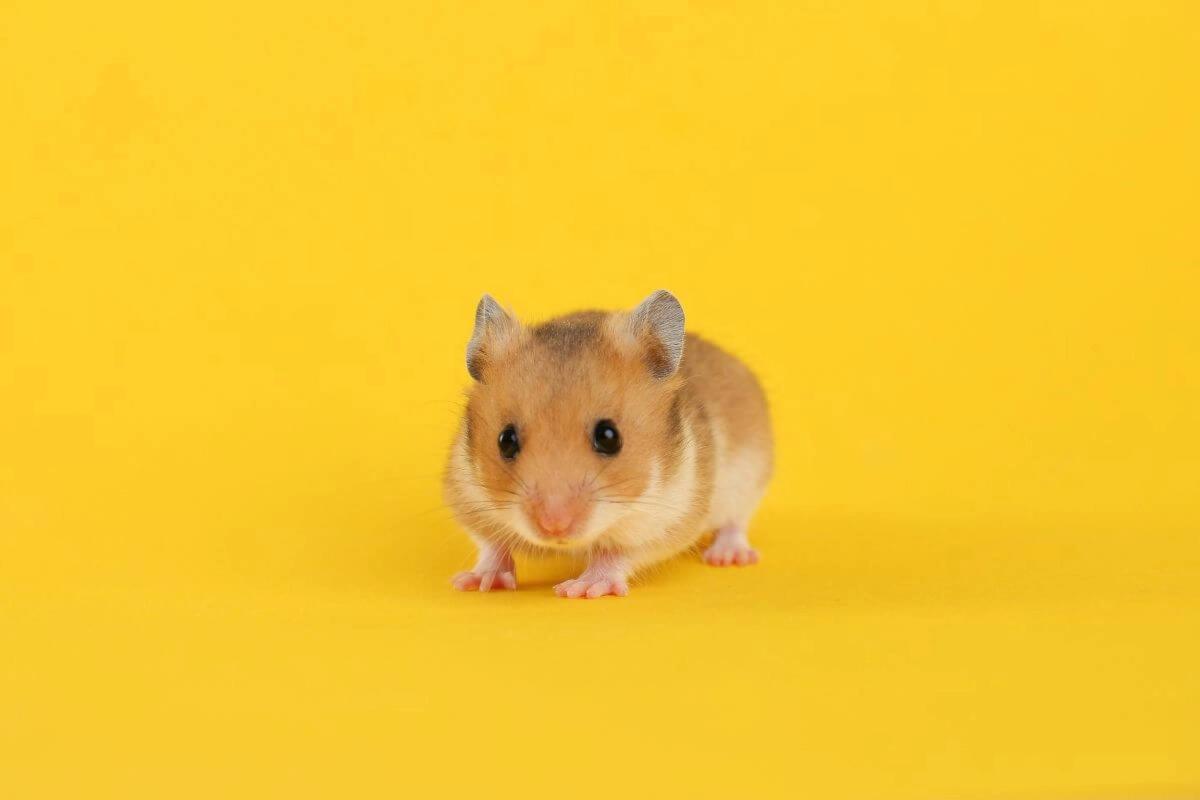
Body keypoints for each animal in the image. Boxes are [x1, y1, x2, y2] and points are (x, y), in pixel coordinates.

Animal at [444, 290, 773, 598]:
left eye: (609, 437)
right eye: (506, 441)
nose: (554, 527)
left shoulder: (667, 518)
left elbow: (616, 553)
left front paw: (579, 589)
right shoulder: (469, 497)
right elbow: (491, 545)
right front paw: (474, 582)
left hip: (748, 479)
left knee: (735, 522)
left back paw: (728, 556)